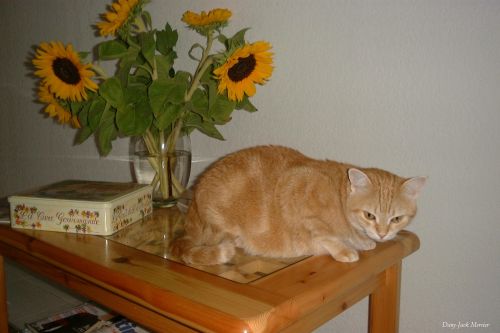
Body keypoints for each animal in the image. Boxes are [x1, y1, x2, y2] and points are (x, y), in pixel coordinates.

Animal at [172, 145, 426, 264]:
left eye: (396, 219)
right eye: (370, 215)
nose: (383, 234)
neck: (339, 197)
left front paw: (363, 241)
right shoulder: (297, 191)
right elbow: (326, 236)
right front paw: (345, 250)